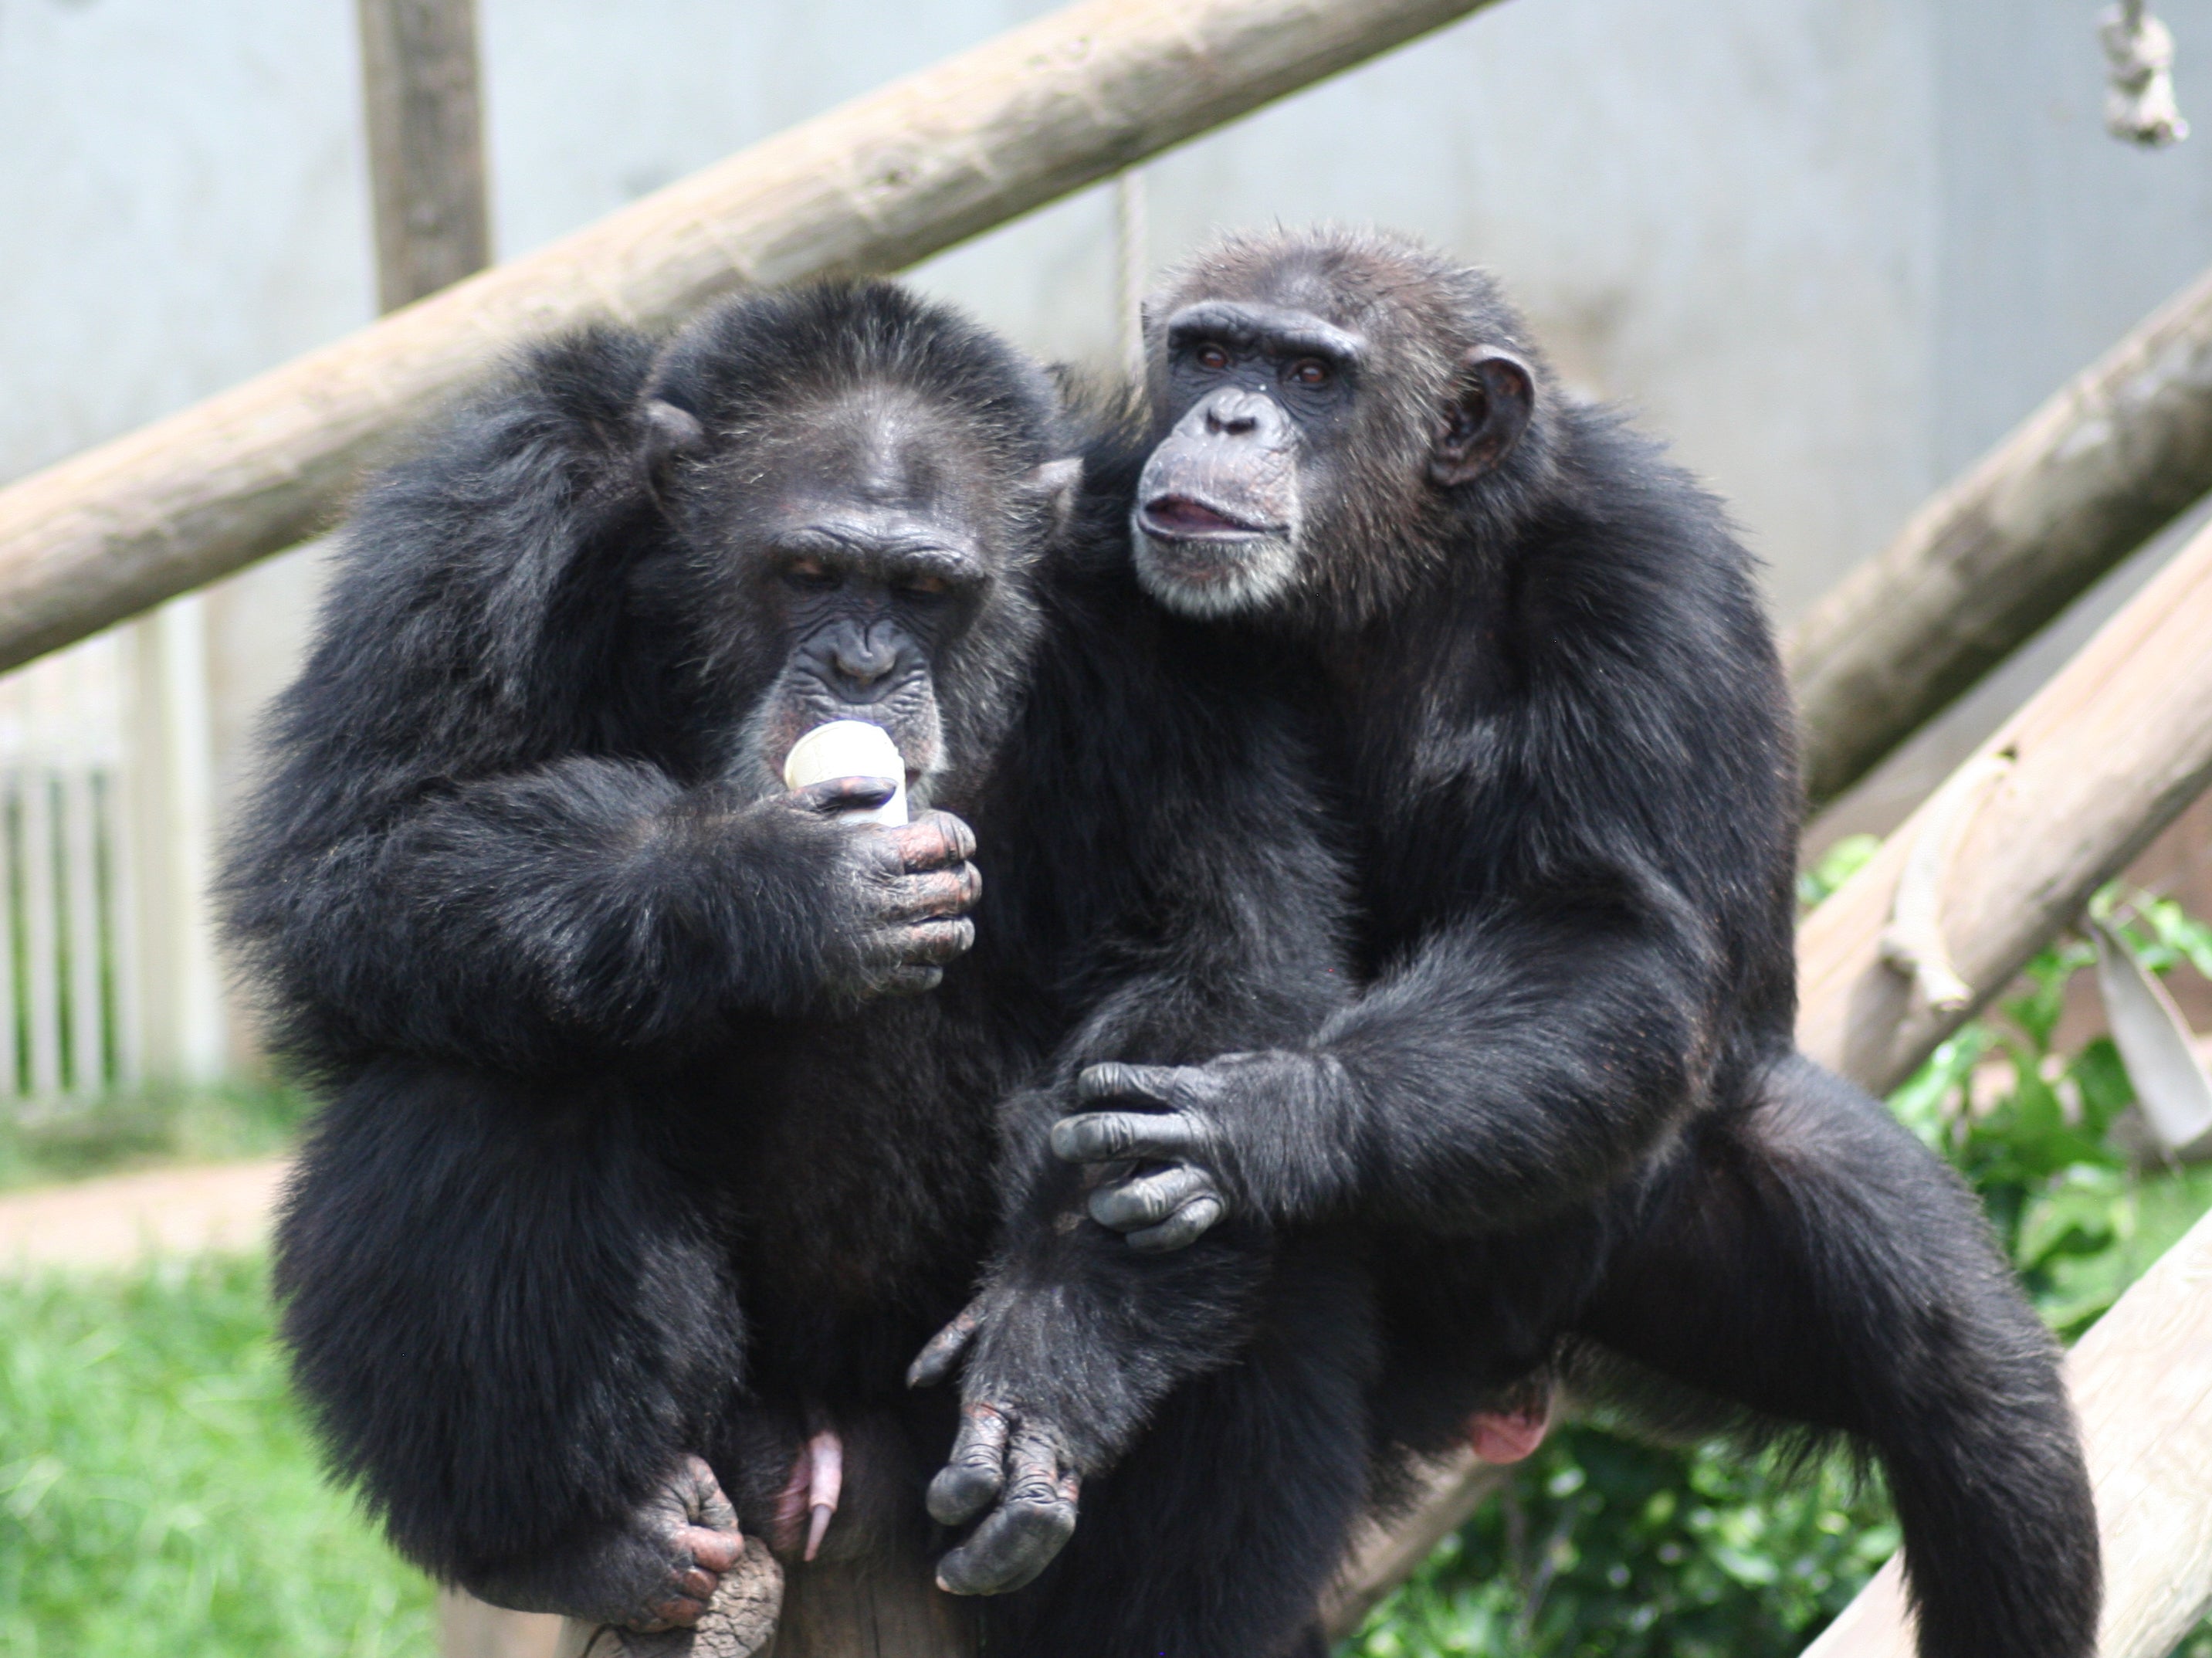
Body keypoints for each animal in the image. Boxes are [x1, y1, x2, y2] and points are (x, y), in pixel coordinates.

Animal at [224, 285, 1362, 1656]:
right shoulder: (482, 516)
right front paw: (775, 883)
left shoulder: (1166, 629)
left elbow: (1217, 957)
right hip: (735, 1419)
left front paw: (1051, 1351)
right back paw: (587, 1538)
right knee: (488, 1068)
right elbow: (361, 855)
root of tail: (828, 1449)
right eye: (811, 572)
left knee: (1247, 1175)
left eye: (923, 588)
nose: (866, 665)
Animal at [924, 229, 2097, 1656]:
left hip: (1658, 1234)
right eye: (1209, 350)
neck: (1397, 568)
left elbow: (1606, 924)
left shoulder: (1652, 578)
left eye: (1310, 373)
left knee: (1971, 1386)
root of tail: (1509, 1368)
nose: (1230, 416)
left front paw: (1271, 1120)